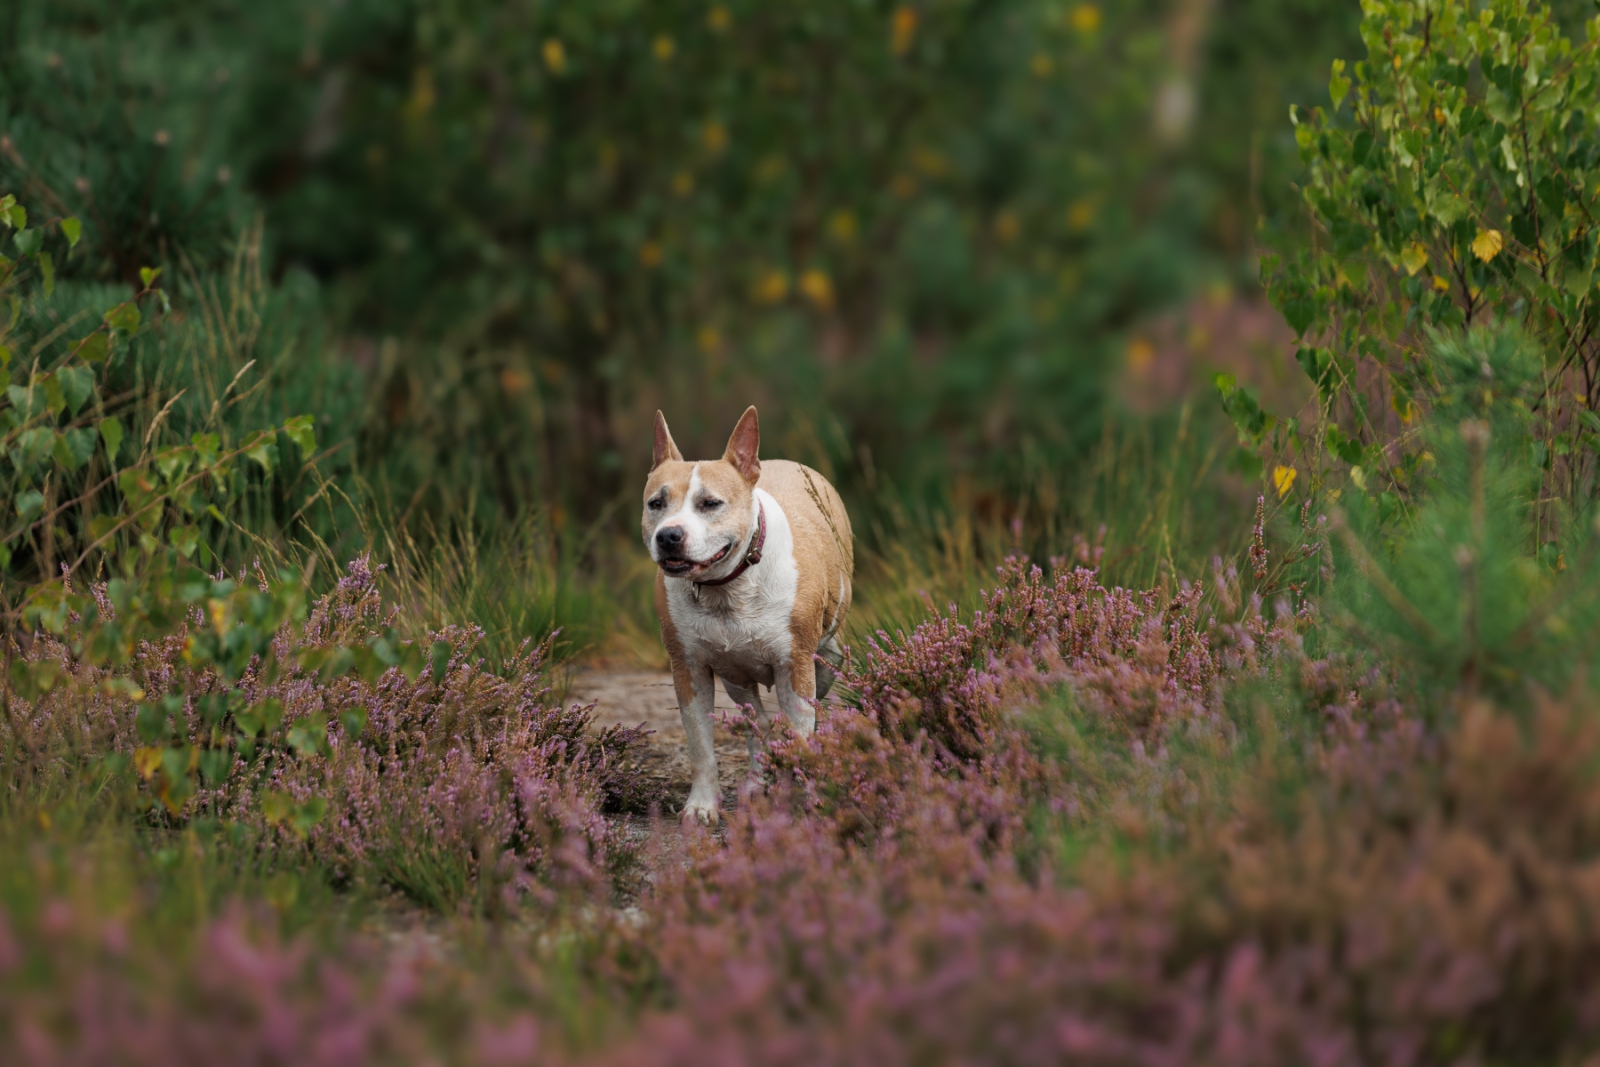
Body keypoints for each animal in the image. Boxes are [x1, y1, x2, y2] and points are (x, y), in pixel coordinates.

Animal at [643, 404, 857, 825]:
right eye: (655, 504)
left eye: (710, 503)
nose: (669, 536)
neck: (726, 589)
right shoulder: (689, 670)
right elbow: (701, 746)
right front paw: (702, 805)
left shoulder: (795, 668)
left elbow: (800, 732)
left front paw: (803, 797)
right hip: (735, 676)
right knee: (754, 720)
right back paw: (759, 779)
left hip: (827, 656)